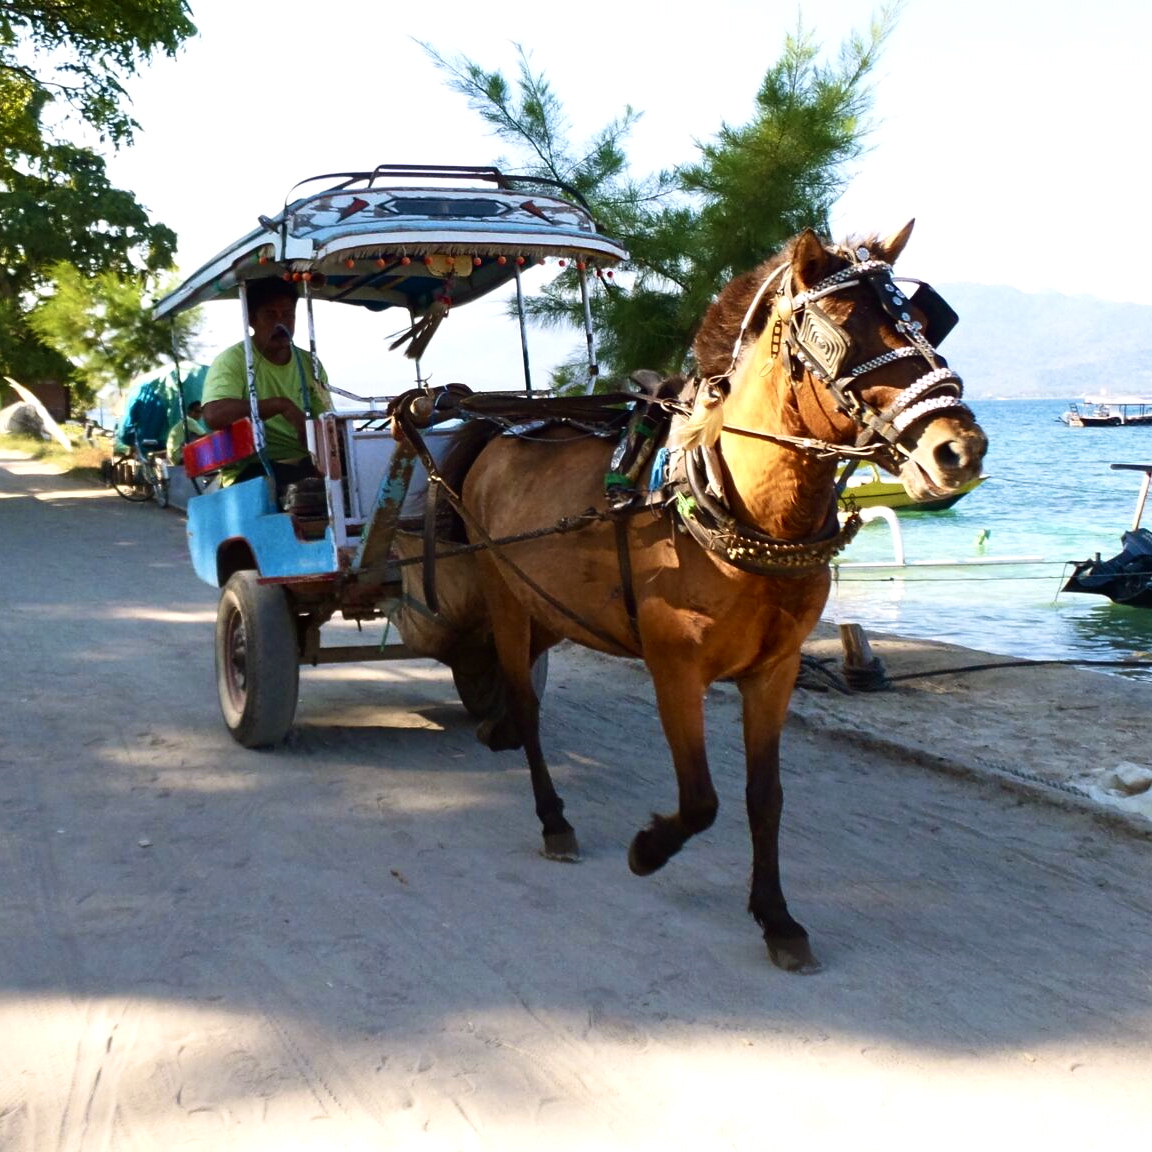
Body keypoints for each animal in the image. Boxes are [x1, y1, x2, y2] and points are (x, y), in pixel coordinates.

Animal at [426, 221, 987, 972]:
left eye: (925, 323)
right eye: (840, 330)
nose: (960, 449)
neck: (738, 506)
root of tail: (501, 428)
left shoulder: (774, 671)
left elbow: (763, 797)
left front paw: (777, 917)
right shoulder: (675, 667)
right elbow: (700, 800)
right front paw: (647, 850)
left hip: (554, 606)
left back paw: (497, 734)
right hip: (509, 600)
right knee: (525, 700)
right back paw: (552, 817)